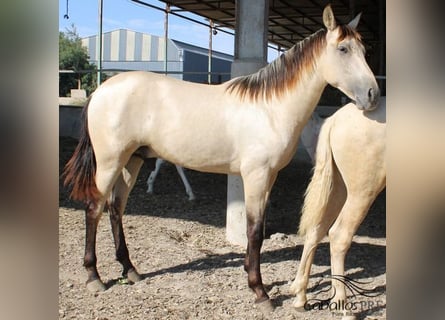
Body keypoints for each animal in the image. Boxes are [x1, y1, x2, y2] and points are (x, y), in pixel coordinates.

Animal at [62, 3, 376, 306]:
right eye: (343, 49)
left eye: (363, 50)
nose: (373, 94)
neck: (270, 108)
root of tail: (101, 90)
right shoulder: (255, 175)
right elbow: (254, 230)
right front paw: (260, 292)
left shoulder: (269, 177)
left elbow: (258, 229)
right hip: (110, 162)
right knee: (94, 208)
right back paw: (94, 276)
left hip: (132, 161)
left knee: (116, 208)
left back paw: (130, 270)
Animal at [290, 98, 384, 320]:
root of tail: (334, 121)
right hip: (361, 193)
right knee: (339, 235)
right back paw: (343, 307)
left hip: (338, 189)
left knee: (316, 231)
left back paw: (300, 297)